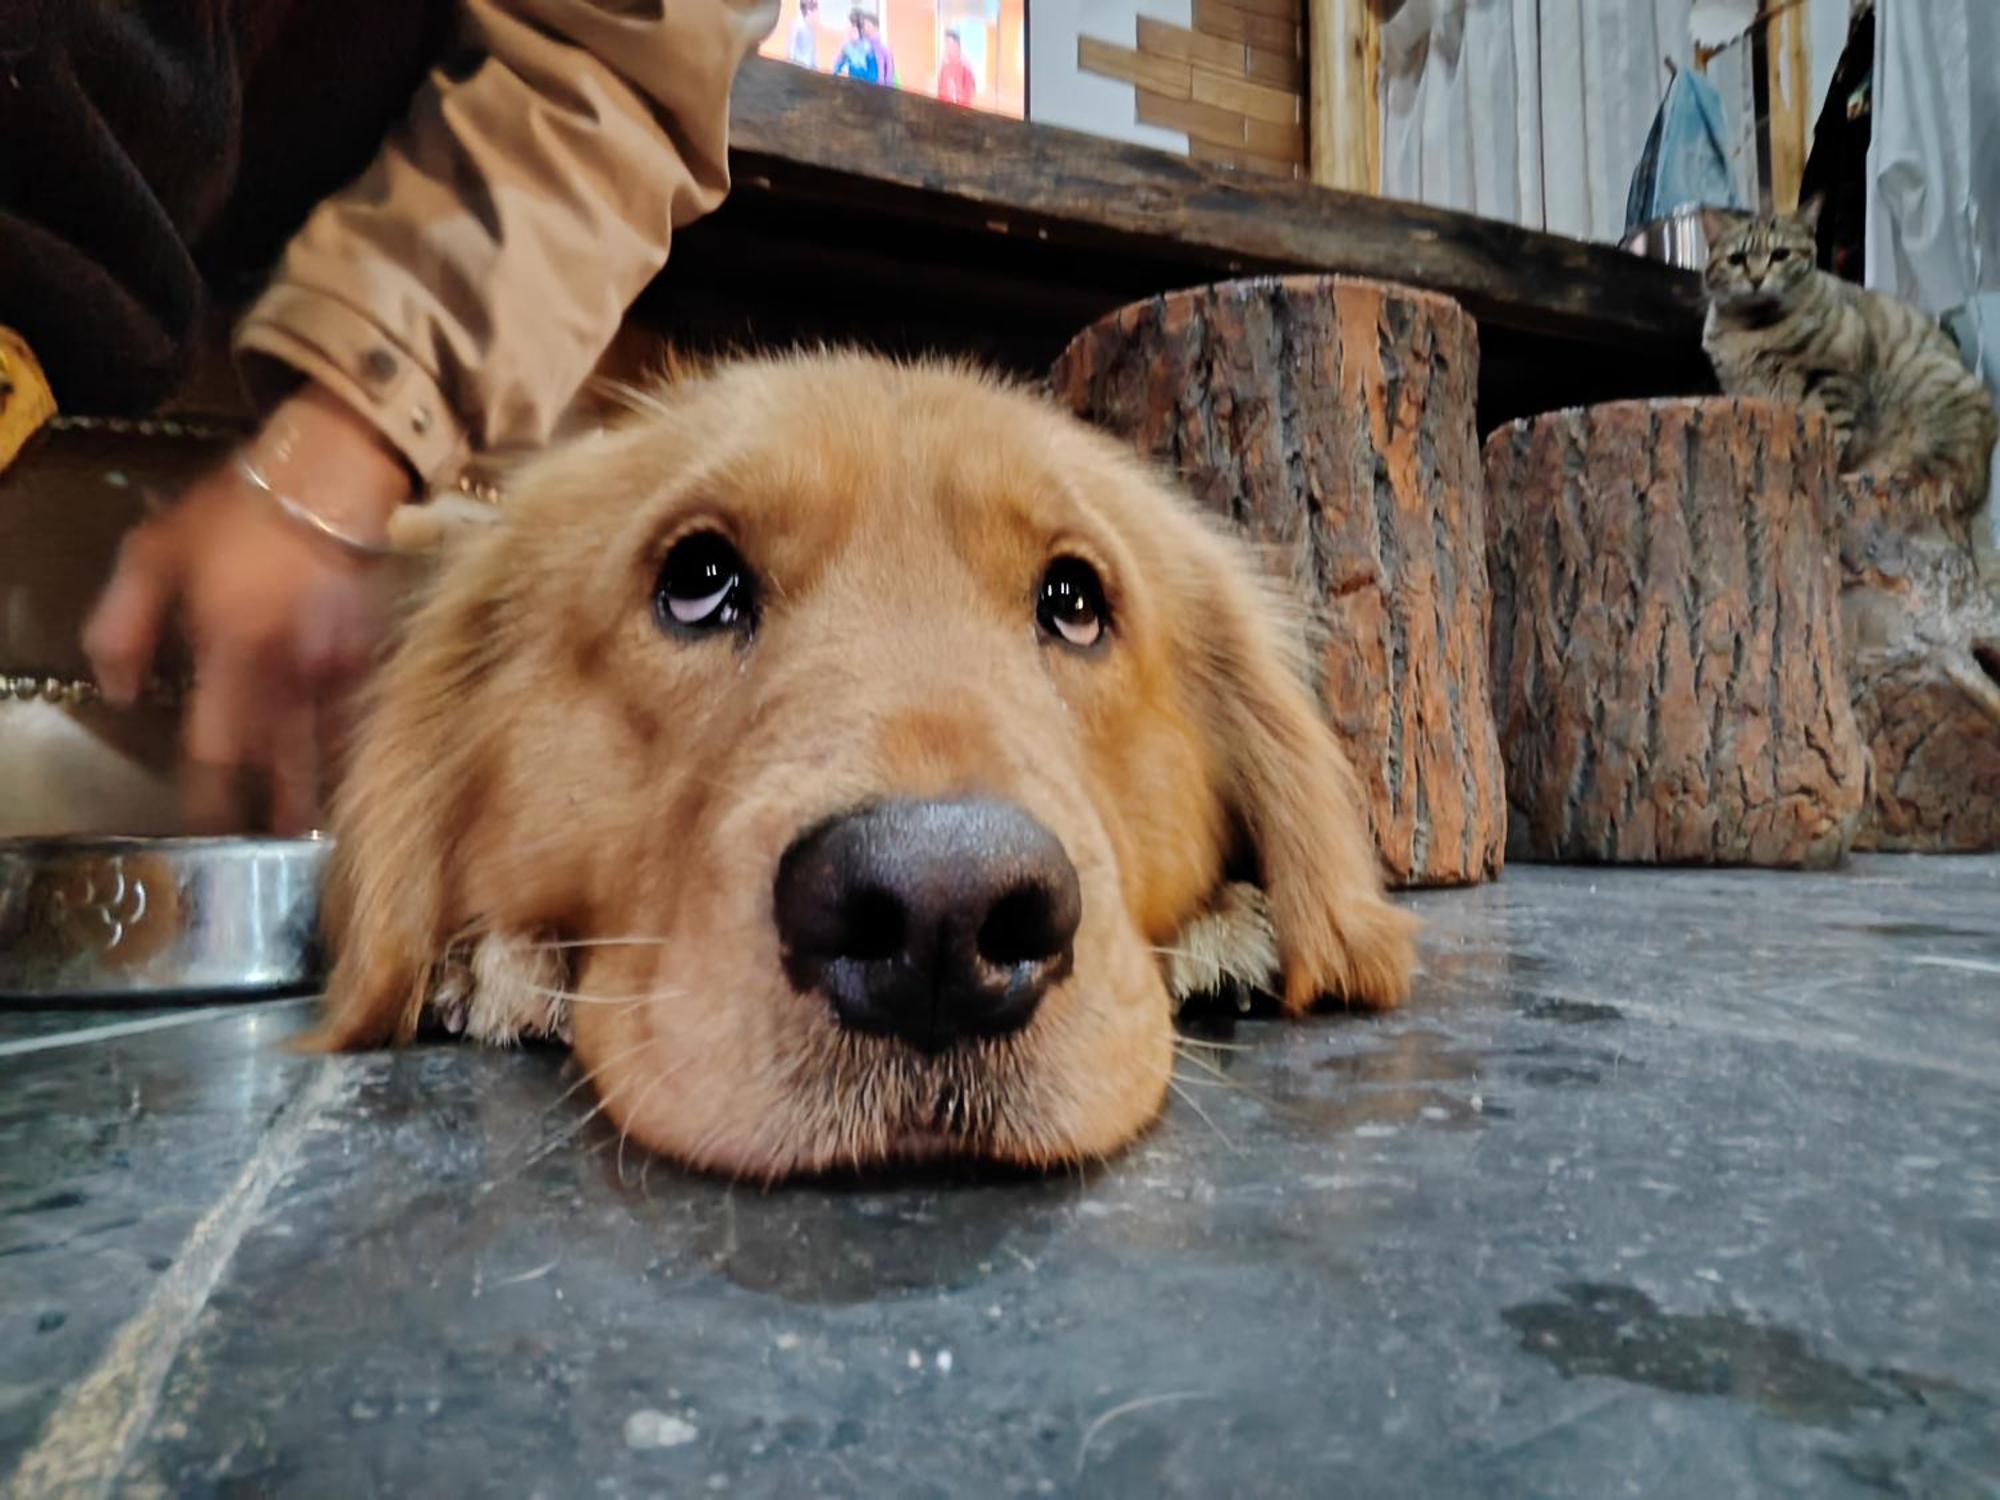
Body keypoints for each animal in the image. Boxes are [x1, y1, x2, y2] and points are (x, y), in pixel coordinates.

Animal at [1696, 200, 1992, 512]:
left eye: (1780, 255)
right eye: (1736, 259)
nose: (1755, 278)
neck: (1750, 326)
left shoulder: (1835, 380)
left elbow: (1836, 441)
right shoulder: (1747, 392)